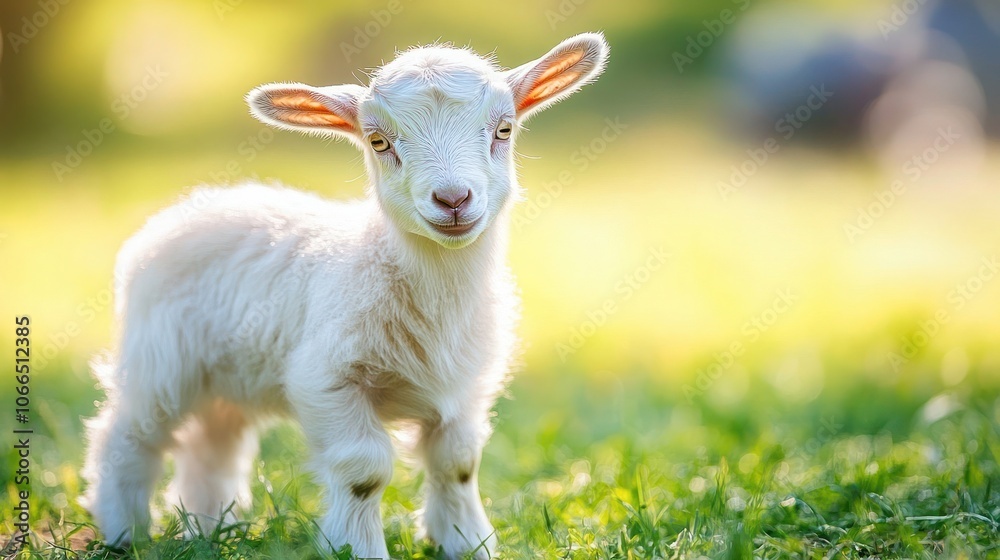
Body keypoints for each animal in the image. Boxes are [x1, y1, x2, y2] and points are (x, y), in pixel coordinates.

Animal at [82, 33, 609, 559]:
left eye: (504, 129)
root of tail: (189, 205)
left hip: (228, 375)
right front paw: (358, 547)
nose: (454, 200)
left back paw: (209, 528)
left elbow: (458, 463)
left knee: (213, 445)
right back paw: (125, 531)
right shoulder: (326, 379)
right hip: (161, 359)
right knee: (128, 436)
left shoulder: (466, 386)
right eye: (379, 142)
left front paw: (466, 543)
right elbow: (364, 471)